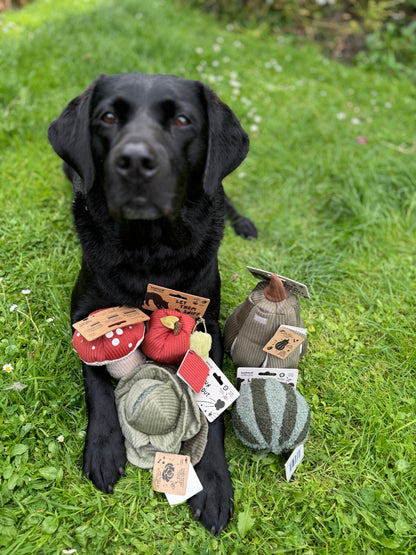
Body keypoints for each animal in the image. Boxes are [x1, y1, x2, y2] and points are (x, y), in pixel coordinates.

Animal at [48, 71, 256, 536]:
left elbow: (210, 405)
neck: (149, 250)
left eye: (181, 120)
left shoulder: (208, 323)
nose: (135, 161)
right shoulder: (83, 315)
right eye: (108, 117)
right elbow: (96, 383)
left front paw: (214, 481)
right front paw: (104, 447)